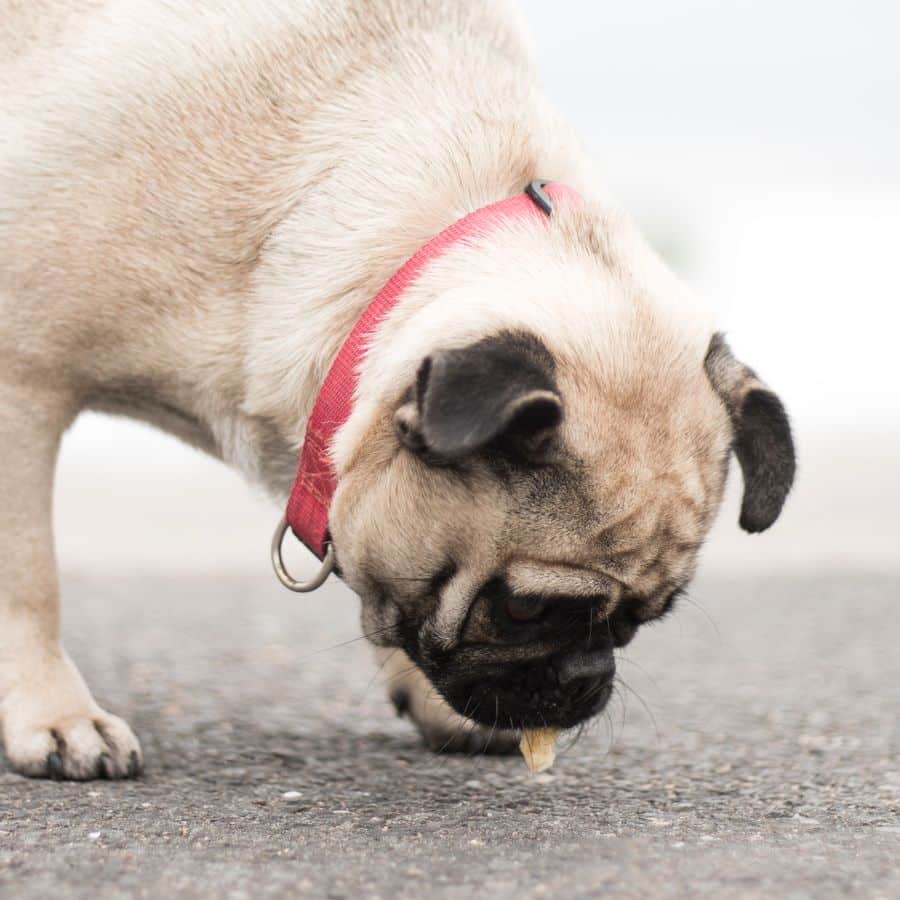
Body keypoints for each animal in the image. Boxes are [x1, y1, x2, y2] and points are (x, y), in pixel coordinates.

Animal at [0, 0, 792, 776]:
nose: (587, 678)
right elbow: (30, 576)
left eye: (638, 623)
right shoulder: (22, 381)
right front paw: (57, 715)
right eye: (523, 611)